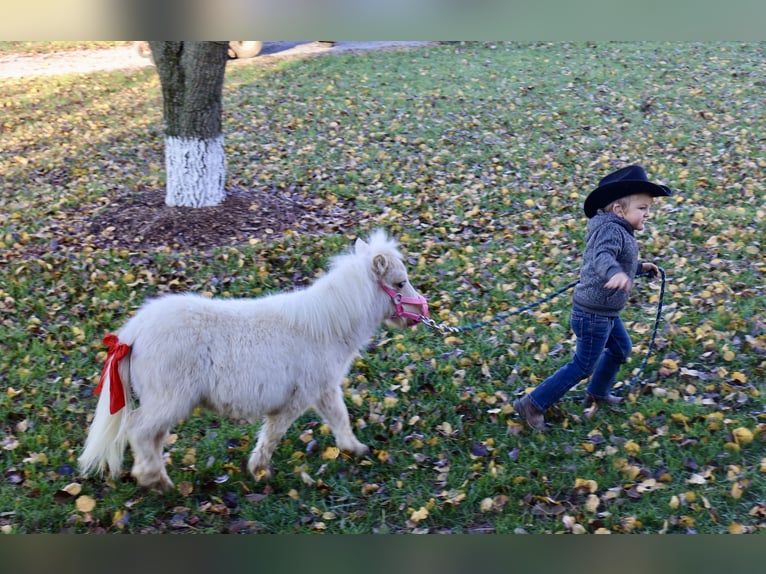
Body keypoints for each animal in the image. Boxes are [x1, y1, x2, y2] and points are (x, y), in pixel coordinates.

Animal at [80, 232, 428, 492]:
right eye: (399, 283)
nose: (421, 312)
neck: (325, 327)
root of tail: (133, 332)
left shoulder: (323, 390)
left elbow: (338, 419)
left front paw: (354, 449)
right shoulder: (302, 396)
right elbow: (276, 433)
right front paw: (259, 470)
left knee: (151, 437)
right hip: (169, 399)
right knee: (138, 430)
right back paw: (156, 481)